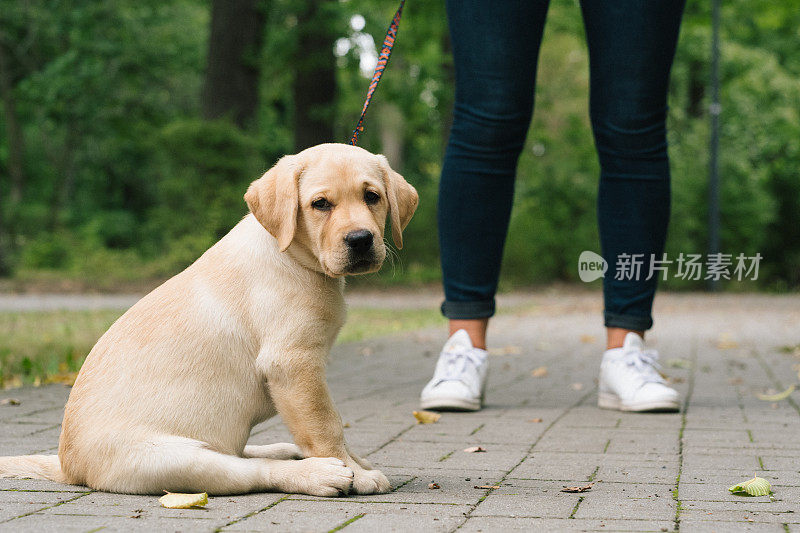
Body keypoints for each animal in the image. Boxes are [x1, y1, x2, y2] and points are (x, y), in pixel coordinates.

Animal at [1, 142, 418, 494]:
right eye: (320, 204)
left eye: (372, 197)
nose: (361, 240)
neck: (290, 254)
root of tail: (68, 467)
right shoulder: (293, 362)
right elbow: (326, 425)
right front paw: (356, 472)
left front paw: (359, 464)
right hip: (172, 459)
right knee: (247, 471)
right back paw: (314, 472)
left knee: (243, 454)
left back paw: (284, 449)